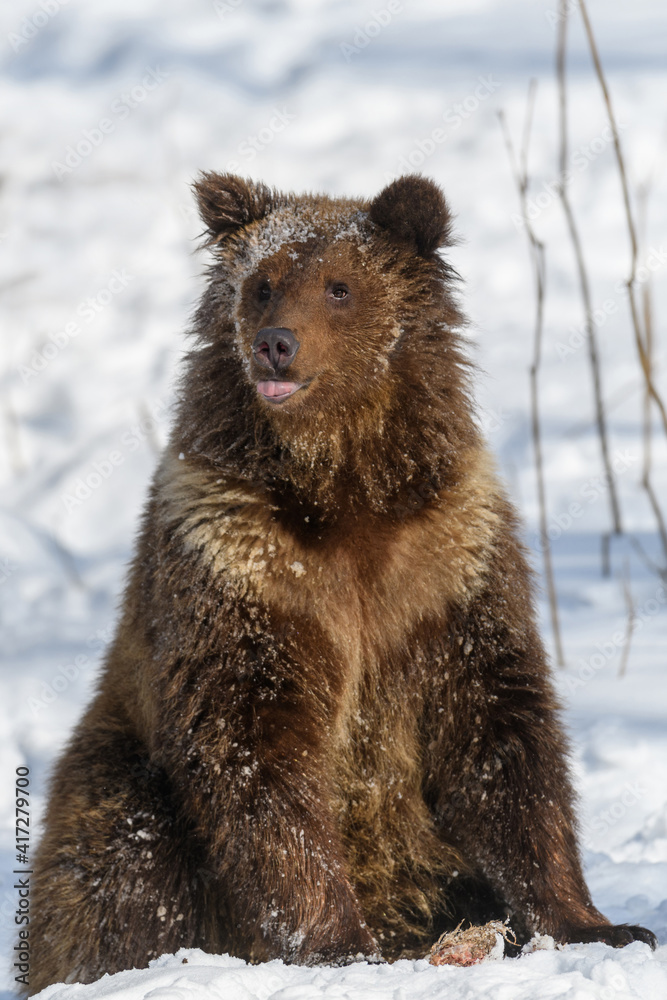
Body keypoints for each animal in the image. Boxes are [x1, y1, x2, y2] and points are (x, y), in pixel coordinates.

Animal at [28, 173, 656, 994]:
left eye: (339, 286)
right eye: (261, 283)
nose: (275, 345)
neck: (342, 485)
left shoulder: (445, 566)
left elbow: (502, 736)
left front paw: (599, 923)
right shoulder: (243, 569)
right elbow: (254, 749)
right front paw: (339, 940)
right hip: (124, 767)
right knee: (123, 864)